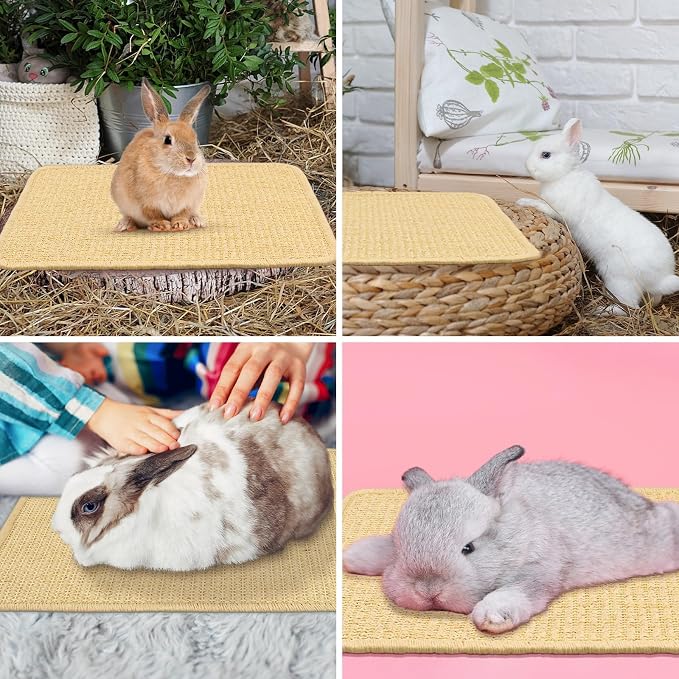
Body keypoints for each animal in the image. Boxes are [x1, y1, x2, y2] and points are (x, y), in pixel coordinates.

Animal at [111, 78, 211, 233]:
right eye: (168, 140)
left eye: (195, 140)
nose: (191, 158)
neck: (171, 173)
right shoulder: (145, 204)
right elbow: (153, 215)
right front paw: (162, 225)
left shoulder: (188, 203)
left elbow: (182, 214)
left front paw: (180, 225)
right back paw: (124, 225)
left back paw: (198, 221)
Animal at [343, 445, 679, 634]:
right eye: (401, 545)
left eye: (468, 548)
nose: (428, 590)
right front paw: (353, 555)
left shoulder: (540, 570)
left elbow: (517, 592)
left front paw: (492, 616)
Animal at [517, 118, 679, 313]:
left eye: (546, 155)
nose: (526, 166)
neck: (565, 174)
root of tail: (661, 278)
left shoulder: (562, 211)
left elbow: (547, 208)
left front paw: (524, 201)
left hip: (618, 279)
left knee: (628, 306)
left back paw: (601, 310)